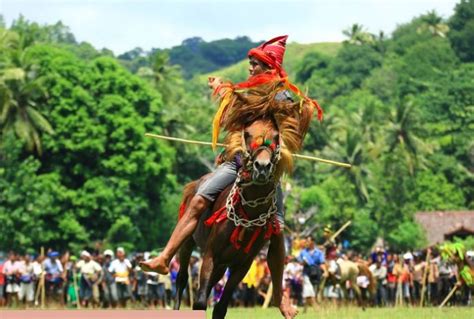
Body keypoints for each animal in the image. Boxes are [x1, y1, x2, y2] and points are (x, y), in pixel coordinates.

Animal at [172, 117, 294, 319]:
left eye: (276, 136)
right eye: (247, 134)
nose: (262, 167)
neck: (248, 217)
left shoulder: (242, 264)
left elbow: (221, 307)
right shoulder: (211, 254)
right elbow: (200, 301)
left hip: (222, 265)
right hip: (188, 242)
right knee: (182, 279)